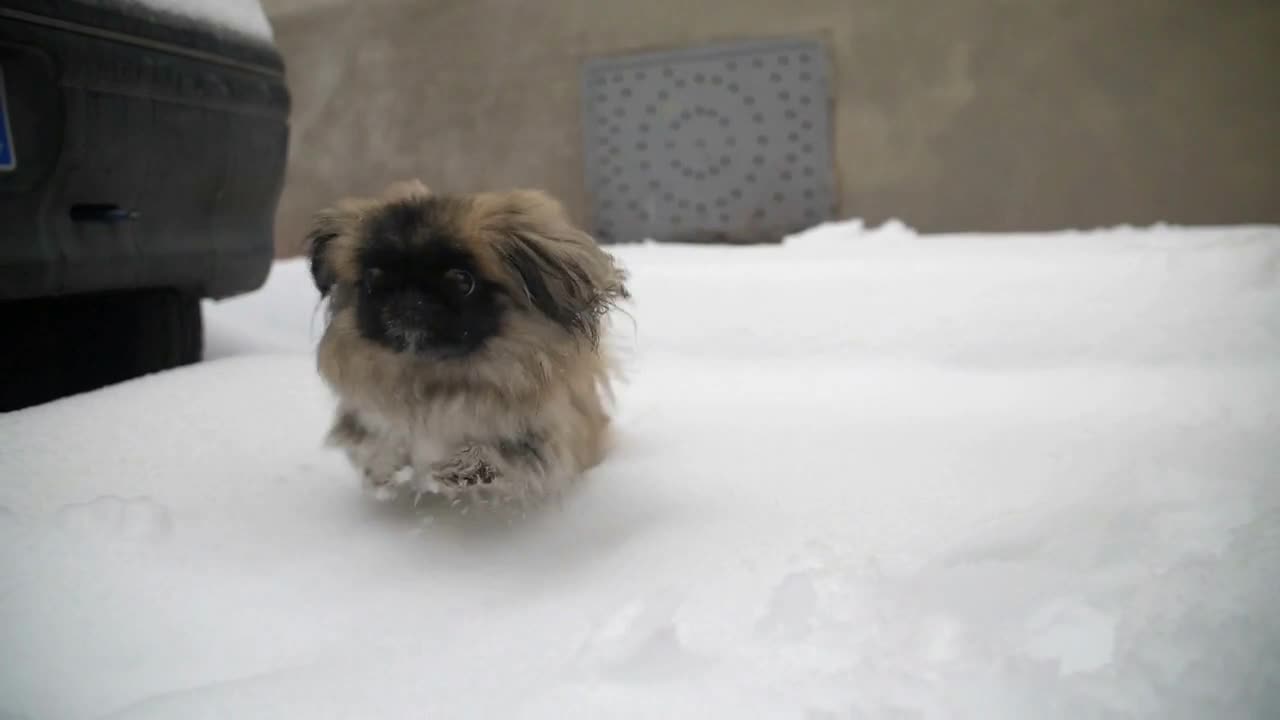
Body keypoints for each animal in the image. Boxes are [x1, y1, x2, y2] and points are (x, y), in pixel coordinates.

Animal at [309, 180, 629, 504]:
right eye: (373, 279)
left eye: (463, 281)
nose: (409, 298)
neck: (432, 377)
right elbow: (378, 446)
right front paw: (387, 468)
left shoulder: (541, 436)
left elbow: (495, 453)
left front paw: (461, 469)